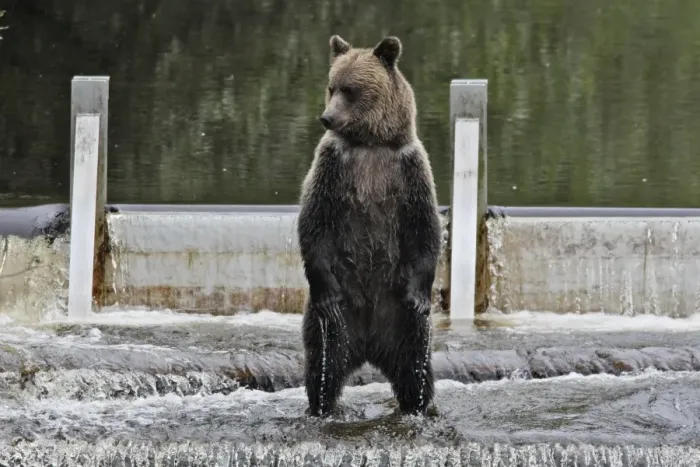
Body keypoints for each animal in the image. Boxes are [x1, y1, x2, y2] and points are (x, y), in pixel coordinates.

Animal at [297, 34, 442, 417]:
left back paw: (417, 405)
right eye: (331, 86)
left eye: (350, 89)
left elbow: (426, 226)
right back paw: (321, 405)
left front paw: (421, 294)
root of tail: (368, 346)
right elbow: (313, 221)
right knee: (323, 363)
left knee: (415, 367)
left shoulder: (408, 168)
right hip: (338, 319)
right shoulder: (333, 165)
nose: (327, 117)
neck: (371, 143)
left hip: (401, 318)